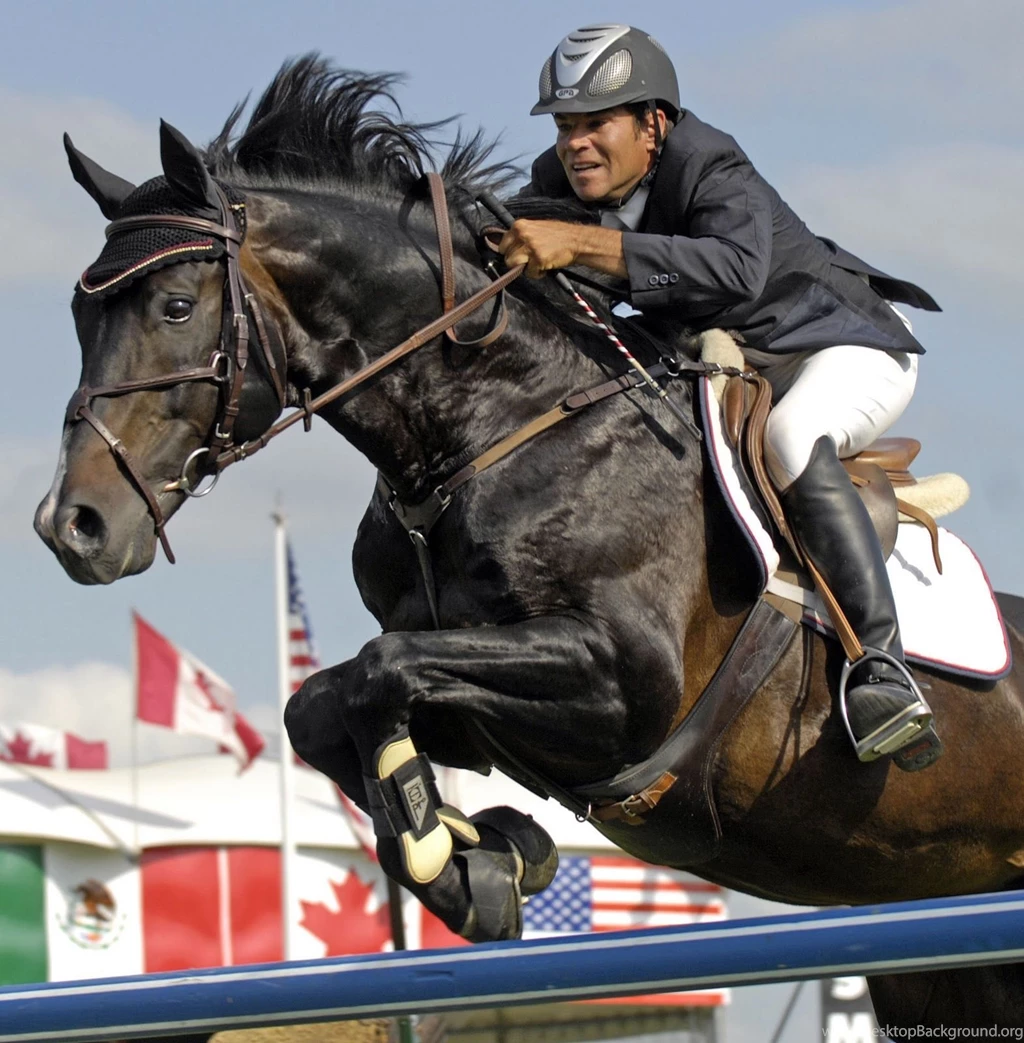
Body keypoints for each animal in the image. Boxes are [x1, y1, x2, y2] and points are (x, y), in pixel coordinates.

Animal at [33, 56, 1024, 1031]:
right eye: (79, 318)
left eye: (173, 305)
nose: (71, 527)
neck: (491, 429)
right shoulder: (484, 701)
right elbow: (323, 702)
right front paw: (487, 856)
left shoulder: (622, 684)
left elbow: (379, 671)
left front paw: (452, 851)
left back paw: (884, 691)